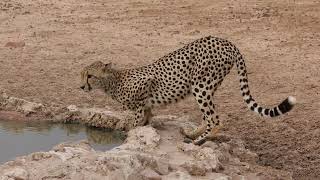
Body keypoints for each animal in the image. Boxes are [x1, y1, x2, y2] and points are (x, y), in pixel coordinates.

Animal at [80, 35, 298, 146]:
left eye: (90, 76)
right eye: (82, 74)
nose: (81, 86)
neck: (112, 82)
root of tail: (226, 41)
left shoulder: (145, 86)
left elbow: (136, 121)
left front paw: (129, 136)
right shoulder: (145, 104)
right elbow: (146, 118)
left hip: (201, 86)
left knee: (215, 119)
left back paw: (197, 141)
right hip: (208, 86)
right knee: (208, 116)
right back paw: (192, 134)